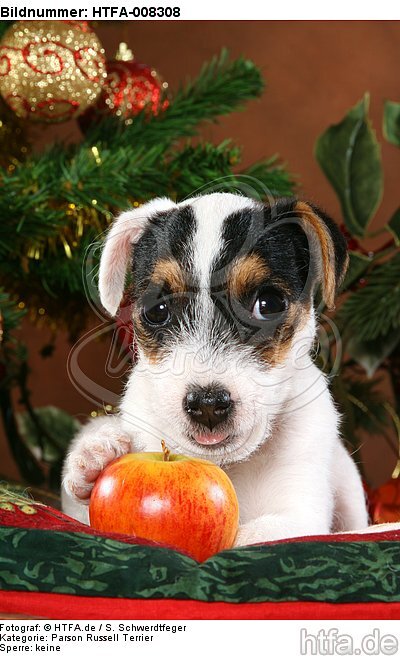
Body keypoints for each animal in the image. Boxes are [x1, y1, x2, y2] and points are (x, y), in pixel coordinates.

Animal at [62, 193, 368, 544]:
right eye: (157, 310)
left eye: (269, 304)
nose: (207, 405)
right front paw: (95, 456)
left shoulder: (299, 517)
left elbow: (248, 536)